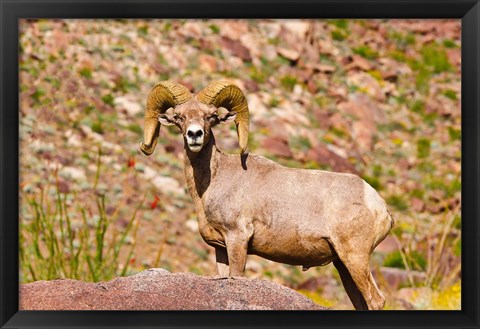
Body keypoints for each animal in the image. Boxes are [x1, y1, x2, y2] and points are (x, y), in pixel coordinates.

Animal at [140, 80, 394, 310]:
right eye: (179, 117)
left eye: (211, 116)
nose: (195, 135)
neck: (214, 180)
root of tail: (379, 205)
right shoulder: (221, 248)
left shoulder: (238, 239)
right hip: (343, 265)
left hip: (355, 258)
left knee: (376, 300)